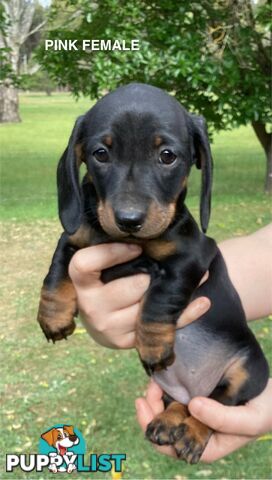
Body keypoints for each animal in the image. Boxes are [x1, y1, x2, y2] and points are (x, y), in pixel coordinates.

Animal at [37, 84, 268, 464]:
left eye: (167, 156)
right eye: (101, 153)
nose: (129, 220)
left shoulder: (190, 258)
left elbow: (160, 299)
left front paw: (153, 345)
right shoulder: (75, 239)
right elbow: (57, 270)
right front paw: (53, 316)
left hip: (250, 370)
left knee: (213, 405)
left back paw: (191, 433)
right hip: (182, 394)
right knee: (185, 403)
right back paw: (168, 421)